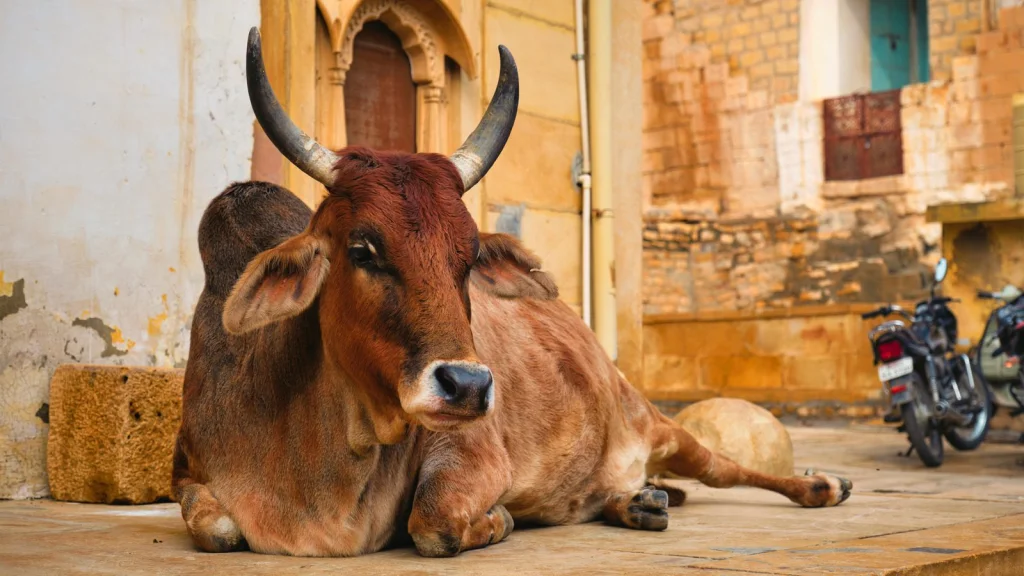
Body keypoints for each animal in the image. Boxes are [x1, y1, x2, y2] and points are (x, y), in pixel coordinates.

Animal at [171, 27, 852, 558]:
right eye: (362, 249)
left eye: (469, 256)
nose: (469, 385)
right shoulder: (189, 473)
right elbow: (218, 528)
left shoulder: (470, 449)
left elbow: (434, 522)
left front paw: (498, 519)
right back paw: (640, 502)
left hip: (659, 425)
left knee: (727, 467)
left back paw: (819, 487)